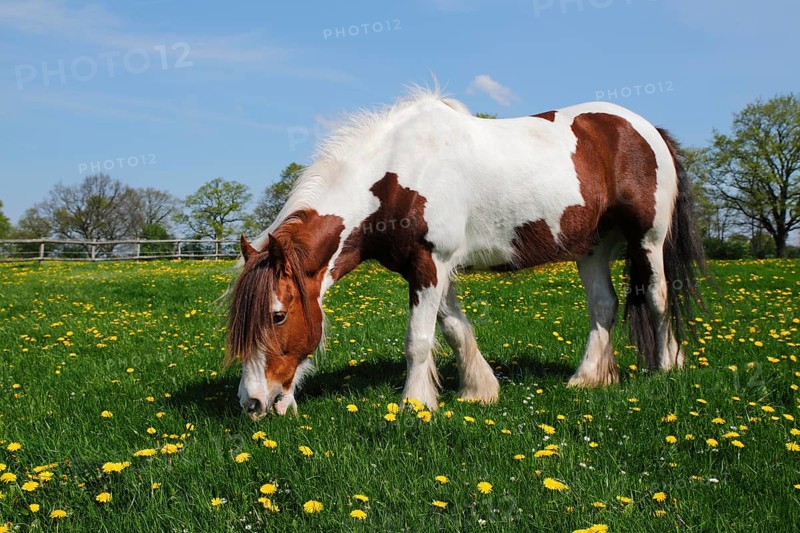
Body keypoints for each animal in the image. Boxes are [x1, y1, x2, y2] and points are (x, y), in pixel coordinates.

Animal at [227, 88, 705, 419]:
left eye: (277, 315)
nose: (252, 402)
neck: (395, 176)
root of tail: (646, 129)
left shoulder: (430, 262)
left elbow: (418, 341)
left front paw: (416, 405)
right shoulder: (427, 268)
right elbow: (456, 329)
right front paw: (479, 390)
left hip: (648, 240)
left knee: (659, 298)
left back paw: (666, 367)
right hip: (592, 246)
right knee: (603, 306)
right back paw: (587, 379)